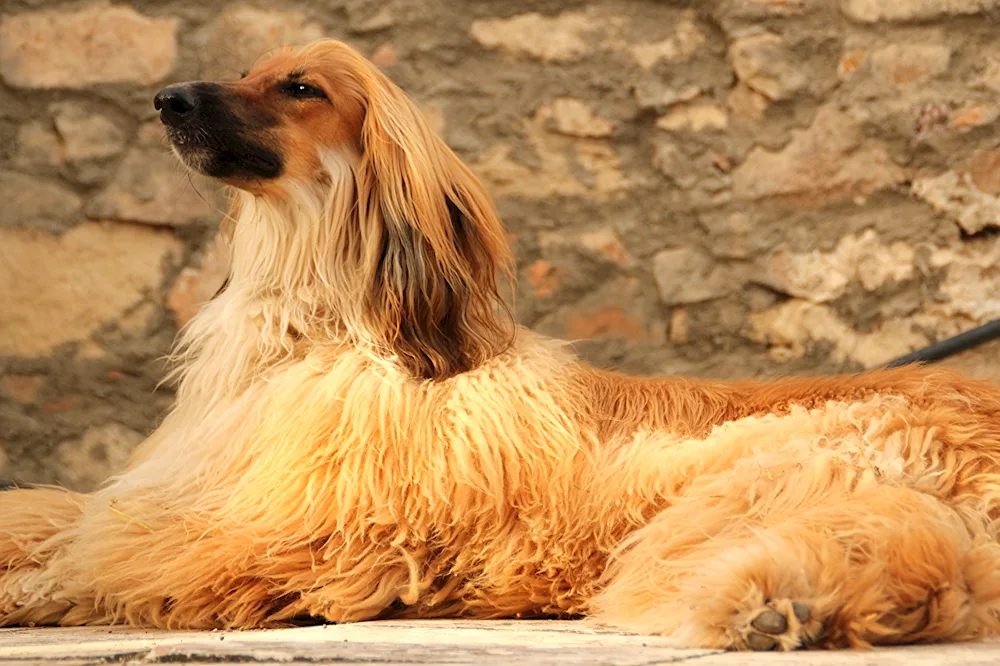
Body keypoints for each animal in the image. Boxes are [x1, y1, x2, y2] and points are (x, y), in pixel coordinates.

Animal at [5, 37, 1000, 648]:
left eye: (300, 87)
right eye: (253, 69)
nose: (166, 99)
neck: (326, 328)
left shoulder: (300, 527)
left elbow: (108, 553)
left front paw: (31, 588)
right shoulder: (201, 482)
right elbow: (67, 515)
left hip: (774, 472)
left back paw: (785, 603)